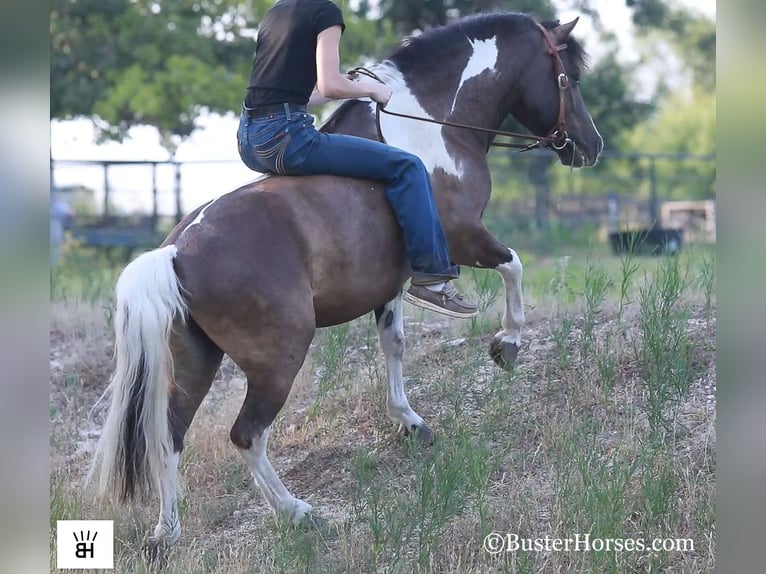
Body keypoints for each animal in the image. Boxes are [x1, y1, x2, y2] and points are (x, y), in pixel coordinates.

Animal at [90, 10, 608, 560]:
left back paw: (166, 533)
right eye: (569, 79)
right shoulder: (466, 237)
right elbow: (514, 266)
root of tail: (176, 251)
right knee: (247, 435)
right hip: (278, 358)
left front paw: (412, 422)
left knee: (170, 435)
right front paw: (507, 343)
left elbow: (394, 343)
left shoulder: (389, 283)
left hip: (195, 359)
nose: (591, 145)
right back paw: (298, 513)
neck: (433, 123)